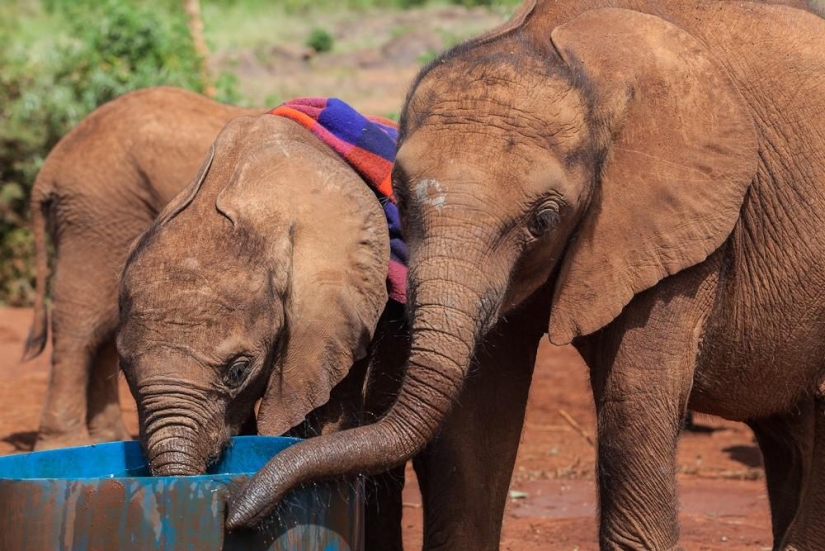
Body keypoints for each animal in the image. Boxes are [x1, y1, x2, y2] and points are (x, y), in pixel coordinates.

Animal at [23, 87, 259, 450]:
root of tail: (54, 160)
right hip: (102, 213)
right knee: (82, 322)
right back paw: (65, 445)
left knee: (106, 321)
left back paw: (107, 439)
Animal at [225, 1, 825, 550]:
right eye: (399, 197)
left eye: (544, 219)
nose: (232, 508)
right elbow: (477, 420)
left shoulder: (690, 226)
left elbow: (632, 404)